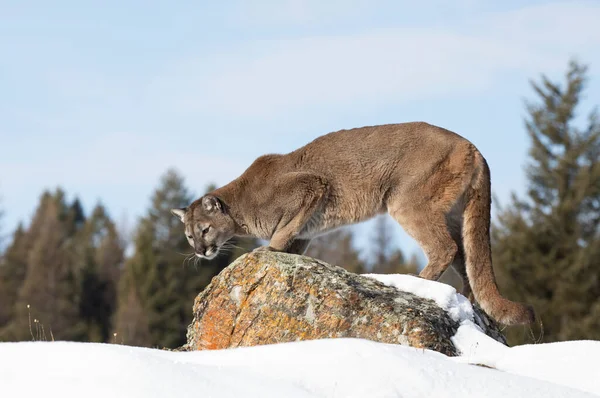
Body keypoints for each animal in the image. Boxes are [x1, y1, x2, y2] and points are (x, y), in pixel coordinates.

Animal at [172, 122, 536, 326]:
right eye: (189, 236)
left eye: (204, 230)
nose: (201, 251)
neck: (241, 206)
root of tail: (473, 147)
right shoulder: (307, 225)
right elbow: (294, 240)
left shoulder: (311, 186)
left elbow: (281, 234)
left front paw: (266, 252)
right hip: (454, 212)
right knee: (466, 255)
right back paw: (467, 300)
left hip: (406, 201)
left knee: (445, 247)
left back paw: (416, 283)